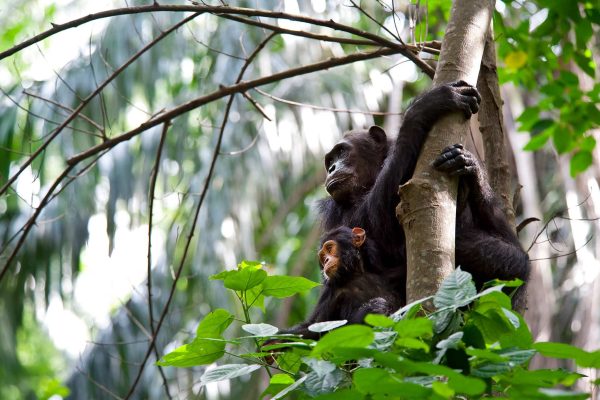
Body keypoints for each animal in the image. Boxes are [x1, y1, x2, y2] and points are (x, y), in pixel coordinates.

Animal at [318, 81, 528, 306]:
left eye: (341, 152)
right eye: (329, 161)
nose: (332, 168)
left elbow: (509, 241)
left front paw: (470, 167)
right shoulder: (332, 209)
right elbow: (367, 227)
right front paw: (424, 106)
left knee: (517, 262)